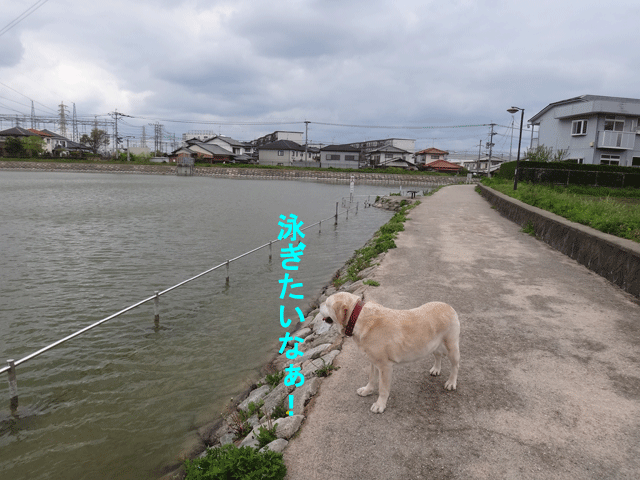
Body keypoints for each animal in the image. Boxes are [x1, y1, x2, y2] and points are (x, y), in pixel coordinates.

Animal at [320, 290, 460, 414]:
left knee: (455, 366)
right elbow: (371, 378)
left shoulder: (385, 366)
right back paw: (436, 369)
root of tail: (448, 306)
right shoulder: (373, 362)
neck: (358, 318)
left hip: (452, 348)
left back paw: (451, 382)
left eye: (326, 303)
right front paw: (367, 390)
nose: (318, 306)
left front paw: (380, 405)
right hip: (432, 345)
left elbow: (383, 388)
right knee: (438, 356)